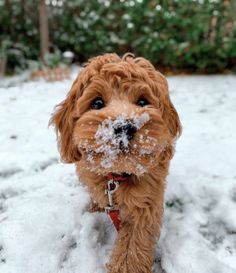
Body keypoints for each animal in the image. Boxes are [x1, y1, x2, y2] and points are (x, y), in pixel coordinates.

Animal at [50, 53, 182, 272]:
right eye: (97, 103)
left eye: (143, 101)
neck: (118, 175)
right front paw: (94, 209)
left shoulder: (145, 202)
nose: (123, 127)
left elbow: (132, 247)